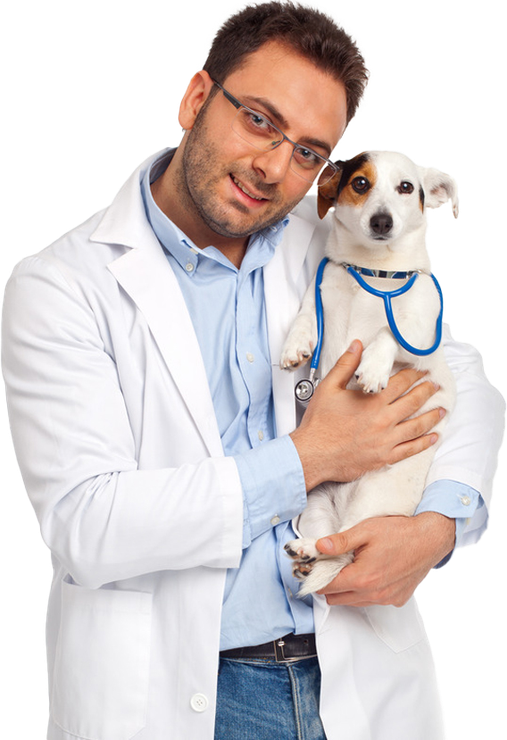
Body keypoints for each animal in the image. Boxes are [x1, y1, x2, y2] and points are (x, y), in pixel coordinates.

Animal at [282, 150, 460, 596]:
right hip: (314, 505)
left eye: (406, 187)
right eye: (360, 184)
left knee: (347, 548)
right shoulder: (321, 292)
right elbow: (307, 314)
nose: (382, 221)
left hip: (372, 501)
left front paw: (373, 368)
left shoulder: (421, 338)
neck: (371, 274)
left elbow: (387, 332)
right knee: (334, 544)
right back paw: (307, 552)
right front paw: (294, 344)